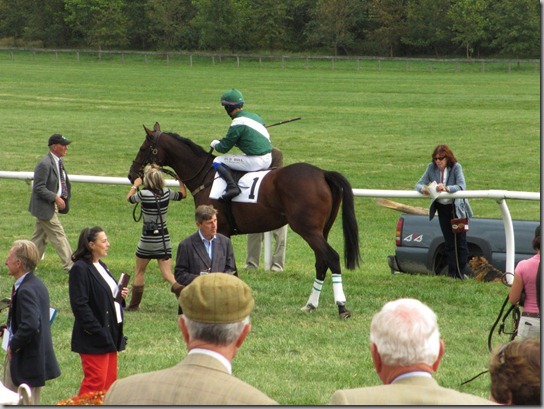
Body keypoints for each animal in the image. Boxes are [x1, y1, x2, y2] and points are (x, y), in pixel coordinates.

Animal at [128, 123, 361, 318]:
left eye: (143, 148)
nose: (132, 175)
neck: (205, 176)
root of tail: (322, 173)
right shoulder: (224, 234)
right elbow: (232, 270)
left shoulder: (219, 230)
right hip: (321, 230)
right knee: (321, 262)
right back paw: (310, 305)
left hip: (307, 229)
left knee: (332, 258)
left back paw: (342, 307)